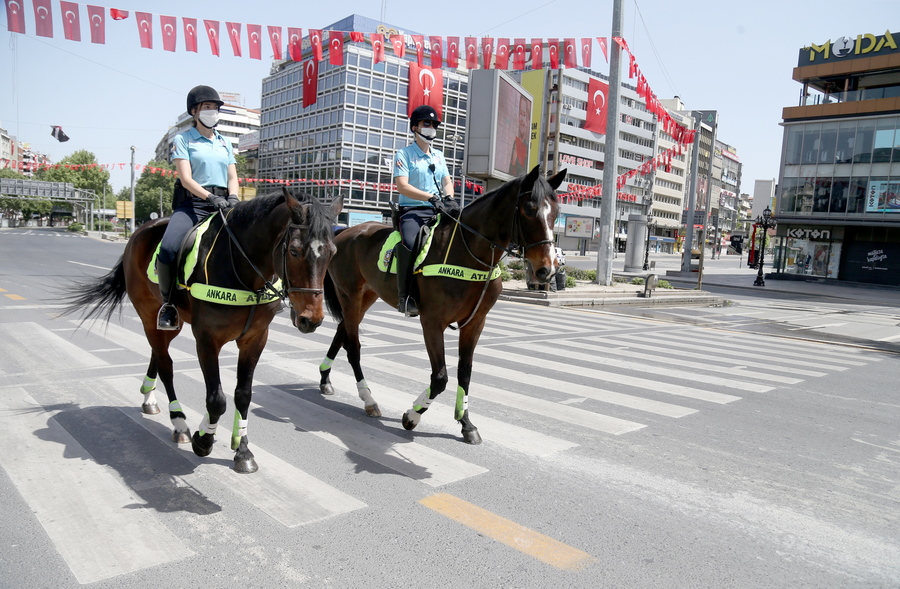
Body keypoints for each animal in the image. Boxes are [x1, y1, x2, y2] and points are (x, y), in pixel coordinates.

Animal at [59, 189, 342, 474]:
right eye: (294, 251)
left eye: (333, 252)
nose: (311, 319)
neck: (242, 269)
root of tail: (141, 230)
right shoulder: (206, 339)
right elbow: (216, 399)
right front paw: (204, 439)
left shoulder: (255, 339)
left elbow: (243, 395)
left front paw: (242, 449)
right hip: (149, 315)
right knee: (166, 366)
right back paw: (179, 423)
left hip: (172, 322)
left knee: (157, 353)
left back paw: (149, 398)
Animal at [320, 165, 568, 440]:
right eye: (529, 209)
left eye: (556, 213)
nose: (547, 269)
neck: (468, 251)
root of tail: (345, 231)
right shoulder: (432, 322)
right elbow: (440, 377)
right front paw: (412, 416)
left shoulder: (475, 324)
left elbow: (465, 373)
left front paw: (466, 423)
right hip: (350, 296)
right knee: (353, 346)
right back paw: (368, 399)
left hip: (366, 296)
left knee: (342, 332)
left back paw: (325, 379)